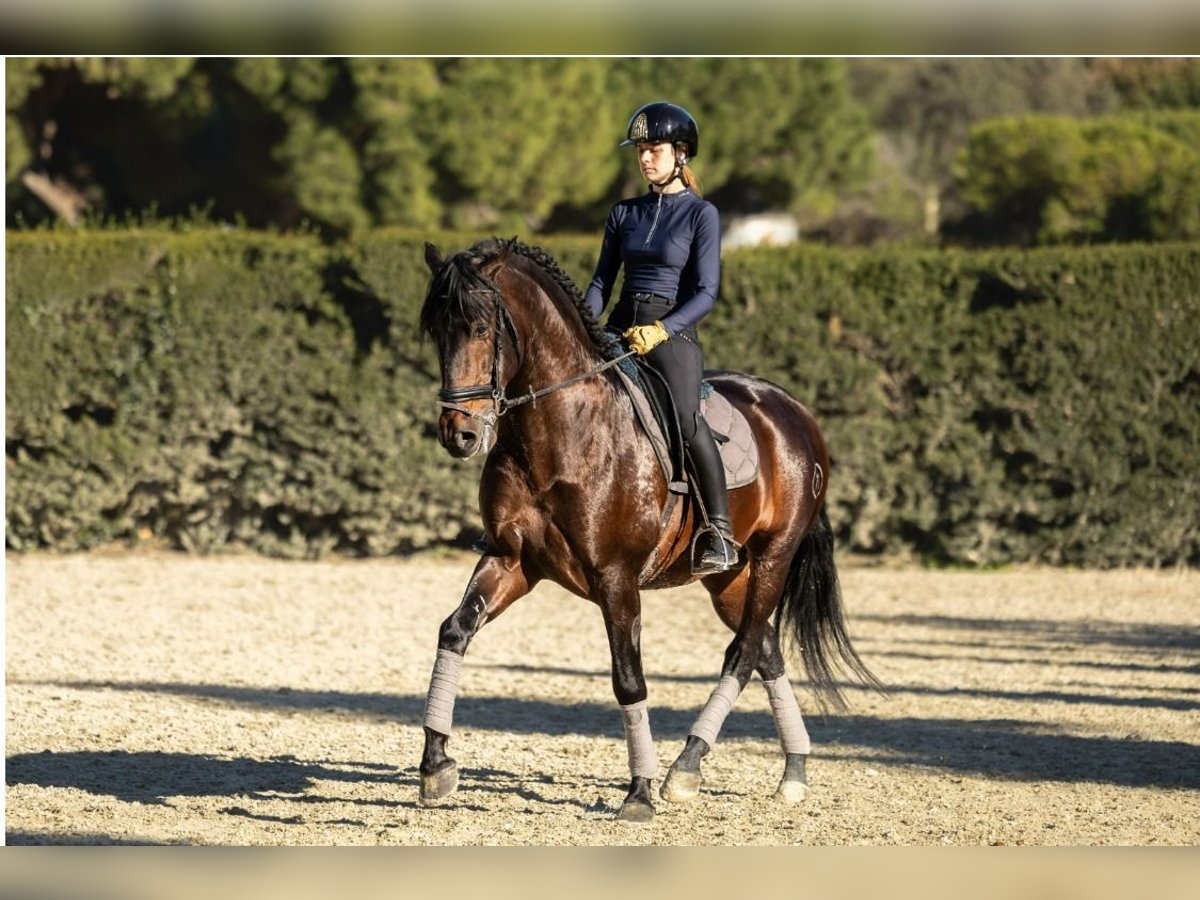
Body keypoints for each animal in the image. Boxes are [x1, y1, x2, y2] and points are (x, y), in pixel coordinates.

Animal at [417, 237, 878, 825]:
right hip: (730, 576)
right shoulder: (510, 560)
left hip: (775, 556)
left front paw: (639, 791)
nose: (459, 434)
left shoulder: (616, 578)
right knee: (766, 648)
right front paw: (436, 765)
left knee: (744, 652)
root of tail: (794, 410)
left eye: (479, 328)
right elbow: (454, 631)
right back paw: (792, 770)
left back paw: (685, 768)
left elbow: (628, 678)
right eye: (437, 331)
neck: (561, 430)